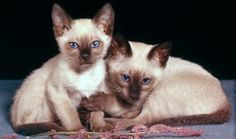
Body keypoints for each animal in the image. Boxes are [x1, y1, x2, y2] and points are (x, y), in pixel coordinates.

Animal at [10, 2, 115, 136]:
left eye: (95, 44)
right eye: (74, 45)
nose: (85, 56)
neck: (84, 73)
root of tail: (13, 119)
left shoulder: (98, 92)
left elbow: (97, 112)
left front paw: (99, 127)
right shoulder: (57, 91)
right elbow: (70, 113)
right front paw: (78, 130)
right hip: (39, 87)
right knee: (33, 123)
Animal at [81, 35, 230, 131]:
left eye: (146, 81)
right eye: (125, 78)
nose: (134, 96)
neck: (112, 87)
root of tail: (225, 102)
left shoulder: (134, 103)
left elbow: (112, 103)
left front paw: (100, 123)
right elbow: (96, 112)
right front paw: (95, 121)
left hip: (158, 93)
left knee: (142, 119)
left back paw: (111, 121)